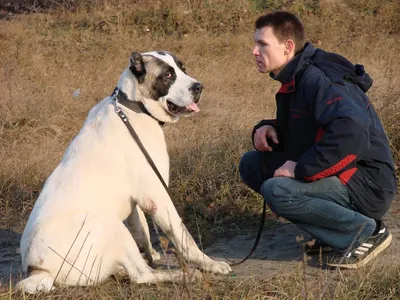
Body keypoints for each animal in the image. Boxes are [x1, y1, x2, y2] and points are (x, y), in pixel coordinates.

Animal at [17, 51, 231, 292]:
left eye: (182, 68)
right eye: (168, 75)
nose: (198, 87)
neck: (132, 107)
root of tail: (38, 270)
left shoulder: (136, 200)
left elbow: (142, 229)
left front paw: (151, 253)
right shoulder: (156, 196)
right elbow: (183, 236)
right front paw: (210, 263)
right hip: (111, 225)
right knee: (141, 275)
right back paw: (184, 274)